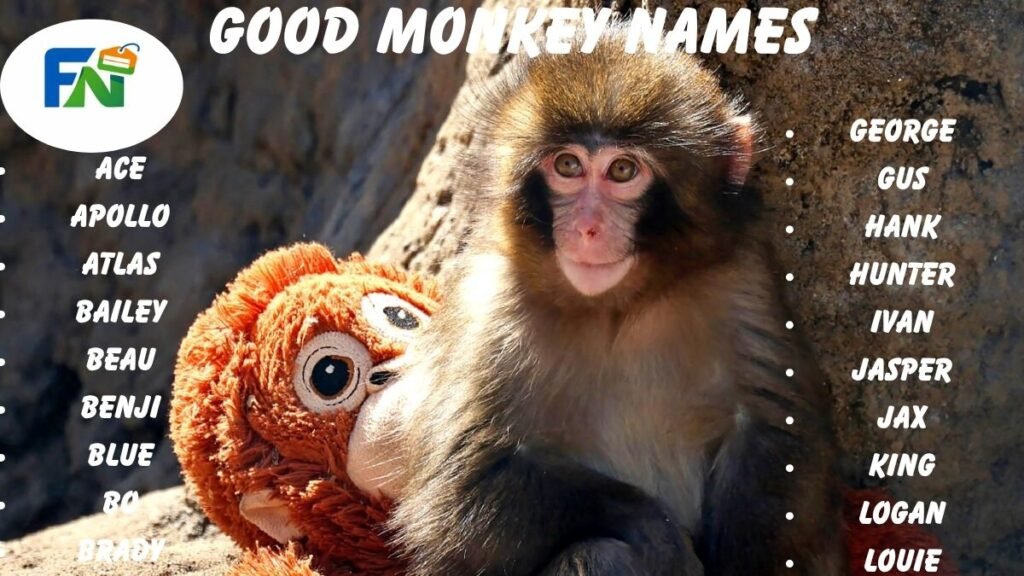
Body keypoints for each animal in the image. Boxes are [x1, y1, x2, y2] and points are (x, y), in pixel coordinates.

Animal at [378, 24, 846, 576]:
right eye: (567, 165)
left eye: (623, 171)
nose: (587, 228)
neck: (617, 307)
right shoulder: (489, 309)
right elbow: (463, 491)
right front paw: (656, 532)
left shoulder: (741, 279)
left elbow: (777, 432)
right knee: (599, 554)